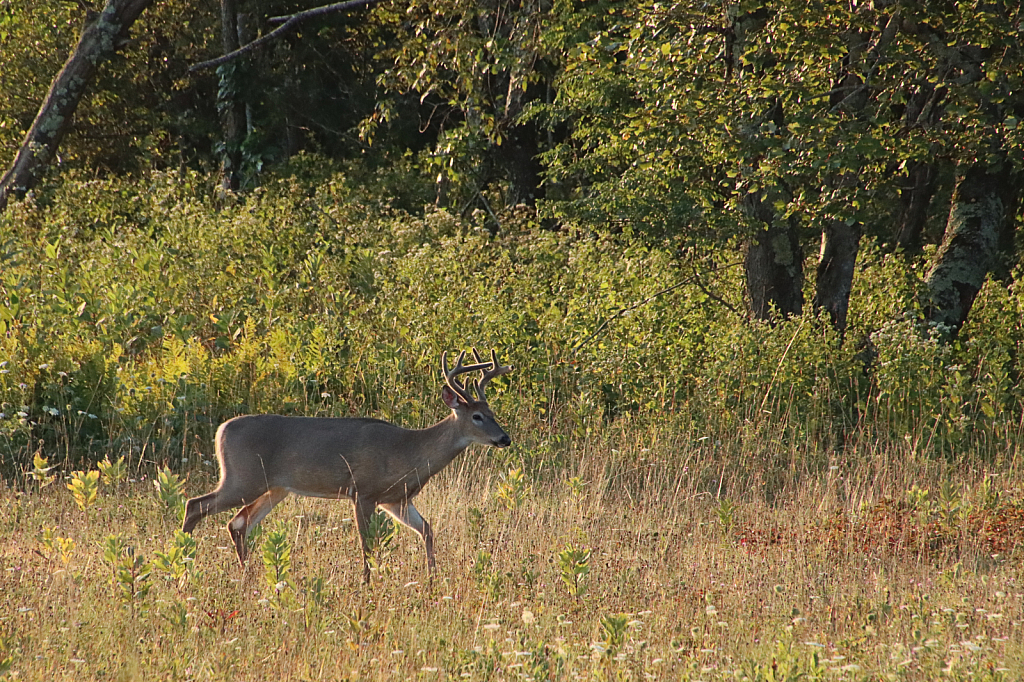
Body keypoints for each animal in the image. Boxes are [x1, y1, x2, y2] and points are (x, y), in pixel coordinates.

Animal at [182, 350, 512, 577]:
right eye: (476, 416)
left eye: (492, 412)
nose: (505, 438)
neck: (408, 452)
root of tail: (221, 430)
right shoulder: (363, 491)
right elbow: (367, 544)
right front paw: (367, 583)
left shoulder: (396, 500)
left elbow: (427, 530)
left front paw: (432, 577)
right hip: (243, 478)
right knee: (195, 504)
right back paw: (184, 563)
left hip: (274, 488)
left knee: (238, 523)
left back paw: (246, 574)